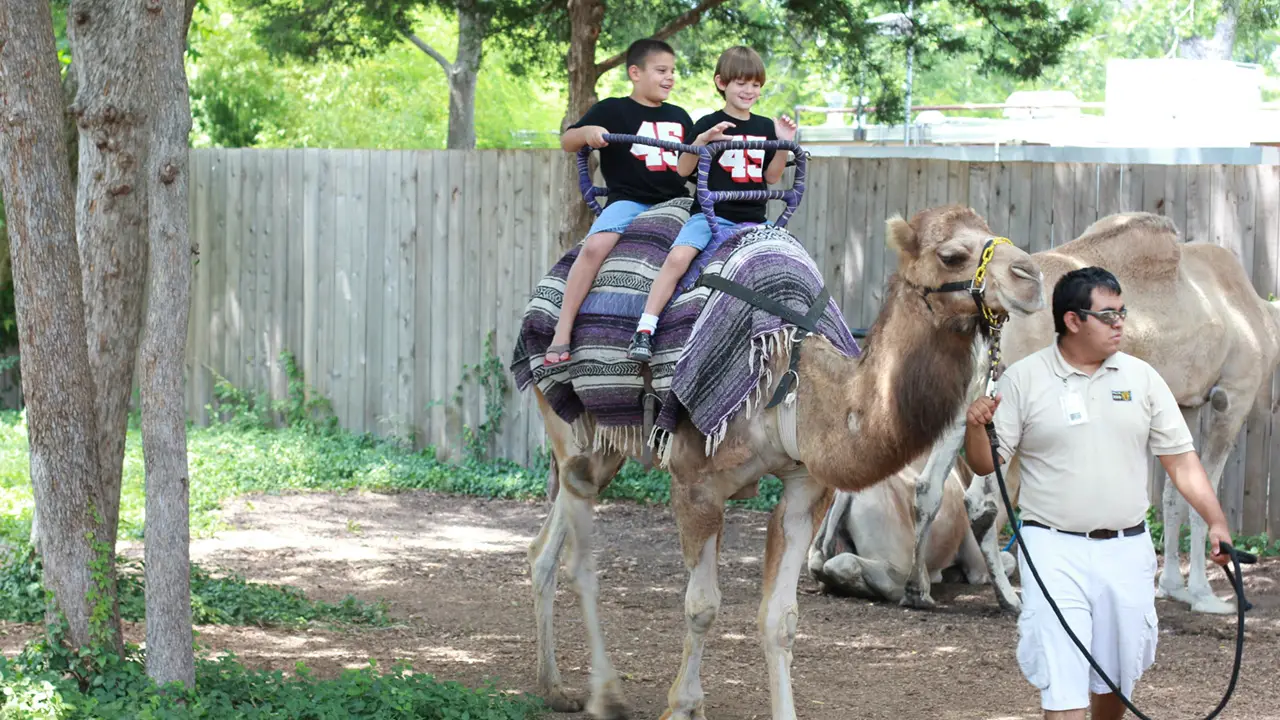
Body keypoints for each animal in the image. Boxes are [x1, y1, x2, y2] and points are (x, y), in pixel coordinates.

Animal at [870, 210, 1280, 614]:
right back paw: (1010, 598)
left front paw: (1174, 588)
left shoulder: (1186, 402)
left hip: (971, 392)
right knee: (982, 501)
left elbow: (1175, 494)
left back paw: (917, 590)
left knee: (928, 486)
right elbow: (1204, 495)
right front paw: (1205, 596)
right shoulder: (1233, 395)